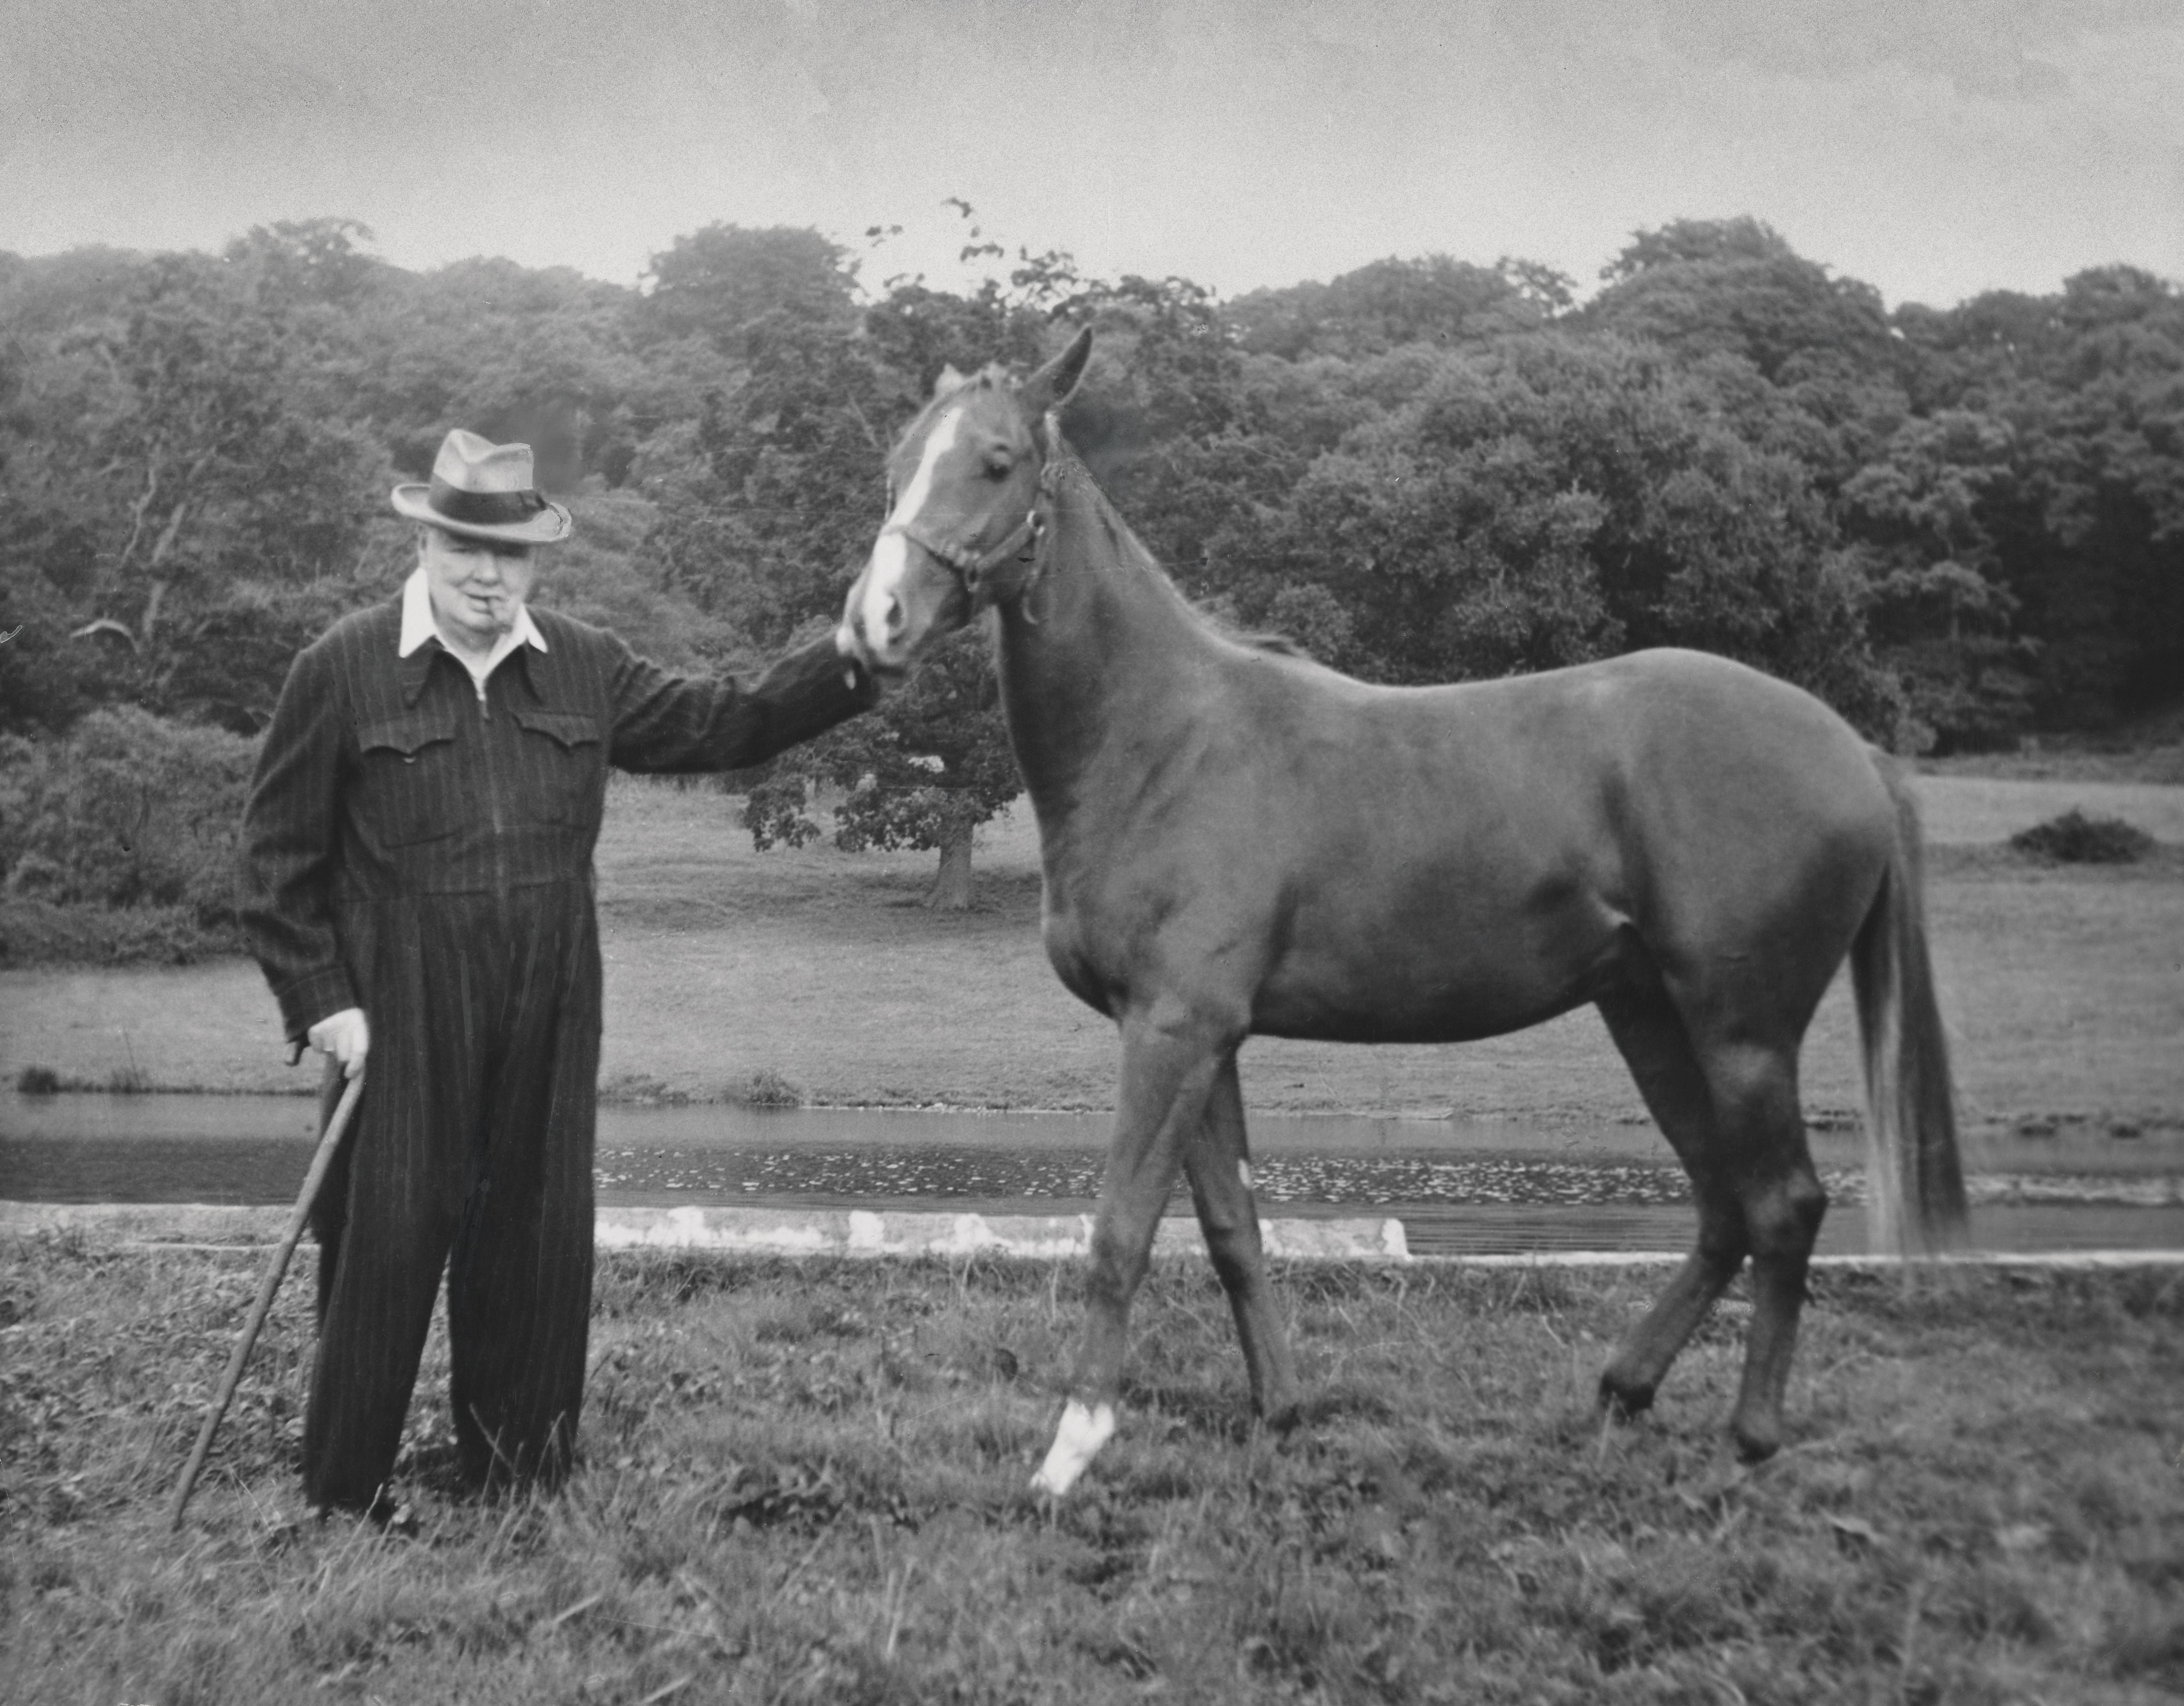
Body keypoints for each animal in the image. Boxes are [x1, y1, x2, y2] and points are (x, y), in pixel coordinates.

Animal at [834, 327, 1967, 1496]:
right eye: (897, 461)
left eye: (998, 460)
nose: (874, 623)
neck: (1164, 736)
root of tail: (1852, 749)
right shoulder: (1206, 1038)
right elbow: (1231, 1226)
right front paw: (1281, 1410)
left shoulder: (1172, 1030)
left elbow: (1121, 1234)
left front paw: (1072, 1447)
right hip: (1650, 1016)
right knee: (1721, 1205)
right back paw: (1624, 1388)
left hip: (1742, 1033)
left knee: (1782, 1204)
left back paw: (1748, 1434)